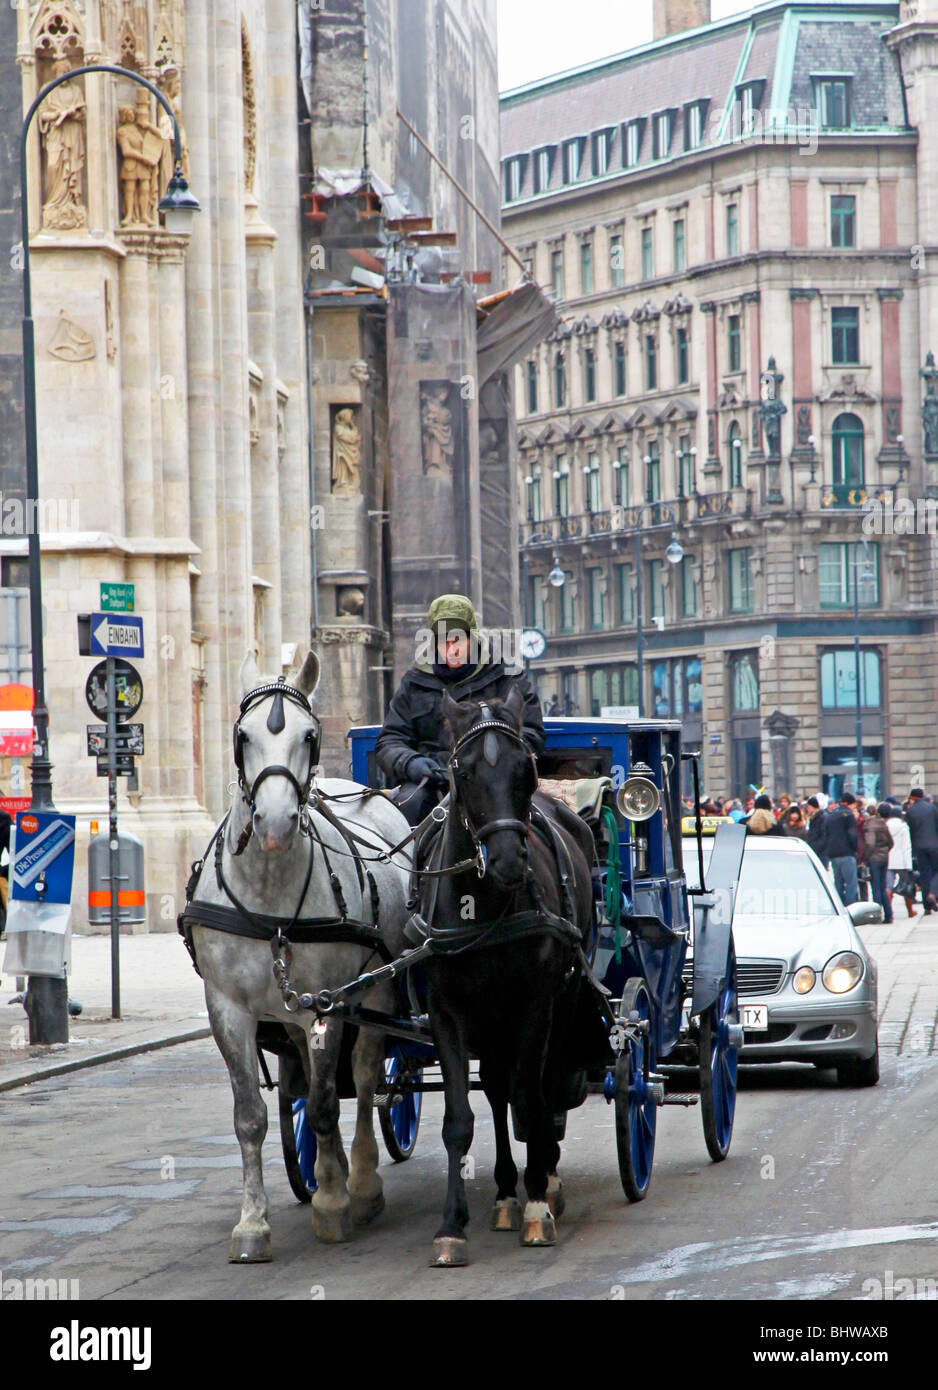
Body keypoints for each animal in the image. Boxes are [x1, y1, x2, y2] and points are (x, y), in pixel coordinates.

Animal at [184, 647, 414, 1262]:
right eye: (241, 736)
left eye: (309, 735)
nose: (275, 823)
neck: (269, 898)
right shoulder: (229, 1008)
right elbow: (251, 1116)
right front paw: (252, 1224)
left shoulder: (326, 1004)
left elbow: (329, 1100)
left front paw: (334, 1202)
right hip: (290, 1013)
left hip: (375, 991)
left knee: (362, 1078)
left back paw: (361, 1182)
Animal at [419, 689, 594, 1267]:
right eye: (464, 772)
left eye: (528, 770)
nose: (508, 861)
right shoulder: (446, 1011)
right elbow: (460, 1119)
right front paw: (451, 1226)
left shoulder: (535, 1003)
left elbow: (531, 1096)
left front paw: (538, 1202)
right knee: (497, 1091)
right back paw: (502, 1192)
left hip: (562, 999)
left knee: (541, 1084)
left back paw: (545, 1180)